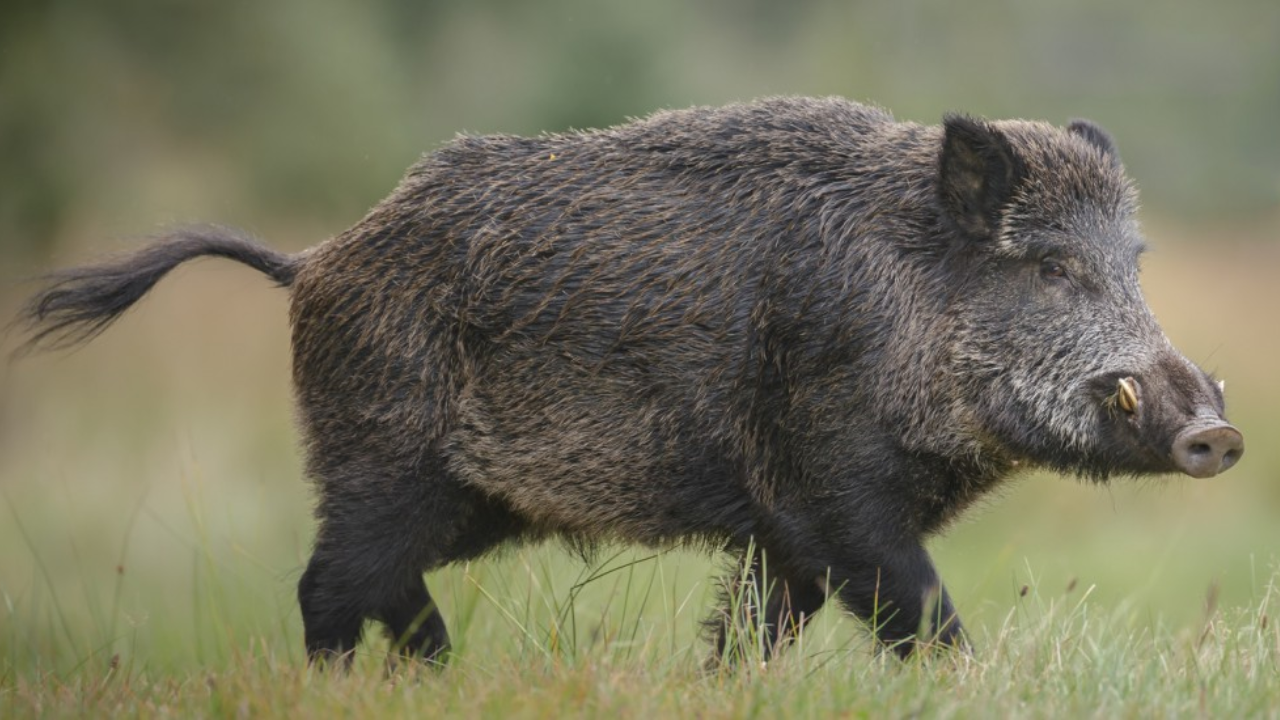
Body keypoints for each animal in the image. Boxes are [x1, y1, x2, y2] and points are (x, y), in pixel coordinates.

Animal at [17, 97, 1243, 666]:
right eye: (1048, 266)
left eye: (1132, 263)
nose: (1217, 435)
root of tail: (313, 261)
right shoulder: (832, 489)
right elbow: (919, 612)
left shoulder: (781, 530)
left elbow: (756, 630)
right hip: (380, 459)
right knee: (331, 586)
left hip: (464, 498)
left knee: (383, 588)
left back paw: (441, 676)